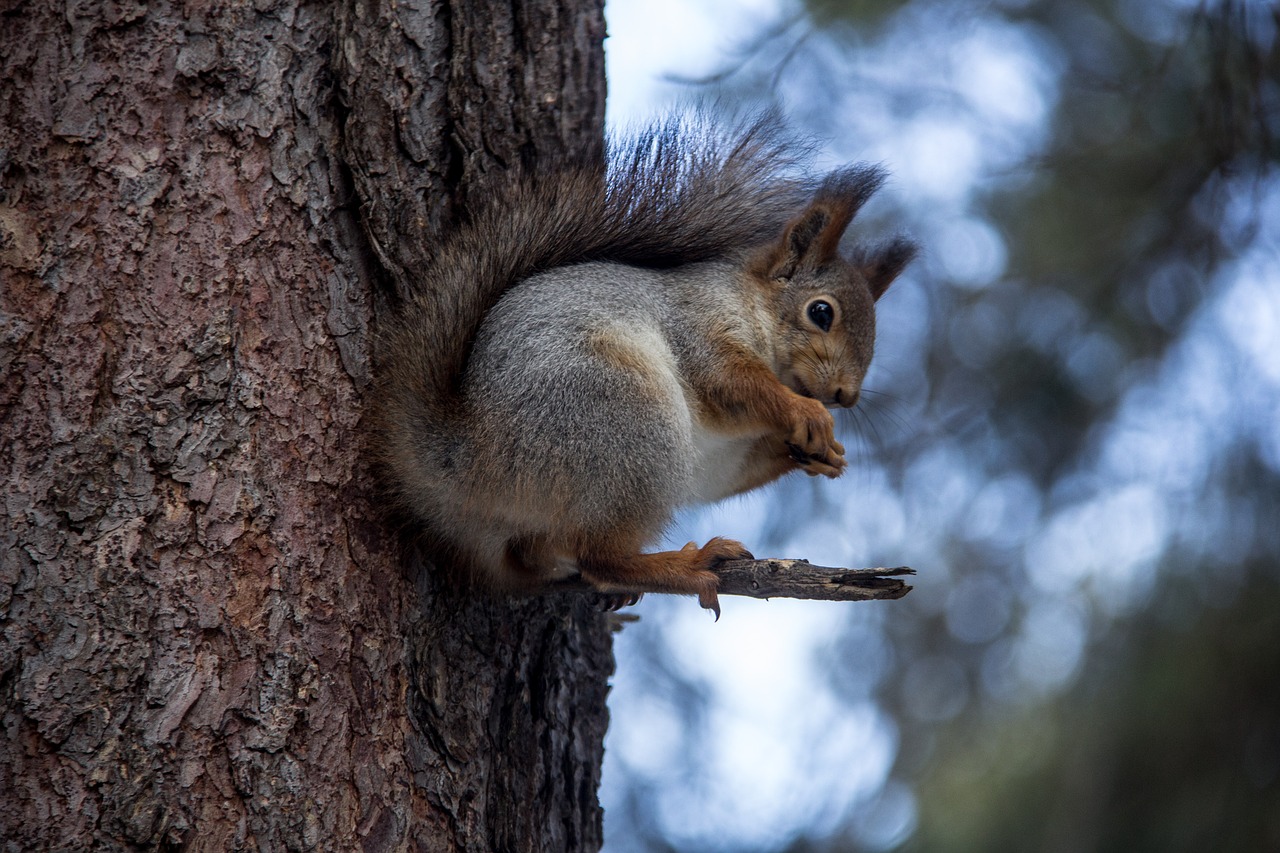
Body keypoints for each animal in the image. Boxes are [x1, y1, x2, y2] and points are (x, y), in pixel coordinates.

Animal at [371, 116, 911, 614]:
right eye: (821, 312)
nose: (845, 396)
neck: (750, 303)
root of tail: (463, 458)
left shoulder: (722, 455)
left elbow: (727, 473)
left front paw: (823, 454)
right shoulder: (699, 323)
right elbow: (730, 380)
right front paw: (807, 415)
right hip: (623, 415)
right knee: (601, 558)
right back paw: (687, 565)